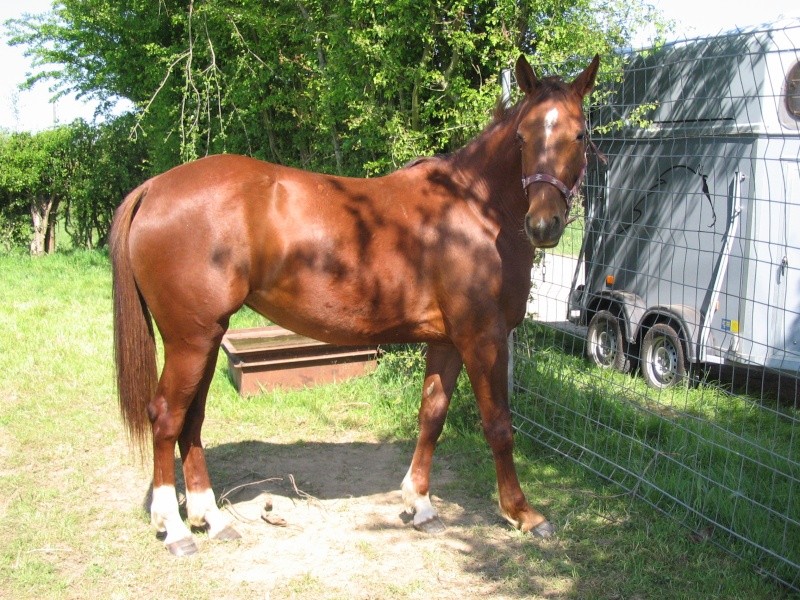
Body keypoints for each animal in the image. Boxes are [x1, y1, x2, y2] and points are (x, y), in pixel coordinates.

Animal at [109, 54, 596, 556]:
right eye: (522, 137)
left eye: (579, 134)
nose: (544, 224)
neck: (474, 210)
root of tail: (155, 188)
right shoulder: (483, 337)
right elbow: (499, 425)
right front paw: (524, 513)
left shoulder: (447, 340)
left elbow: (432, 416)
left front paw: (421, 505)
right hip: (191, 339)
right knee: (167, 417)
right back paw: (176, 529)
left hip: (205, 338)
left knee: (192, 419)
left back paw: (212, 518)